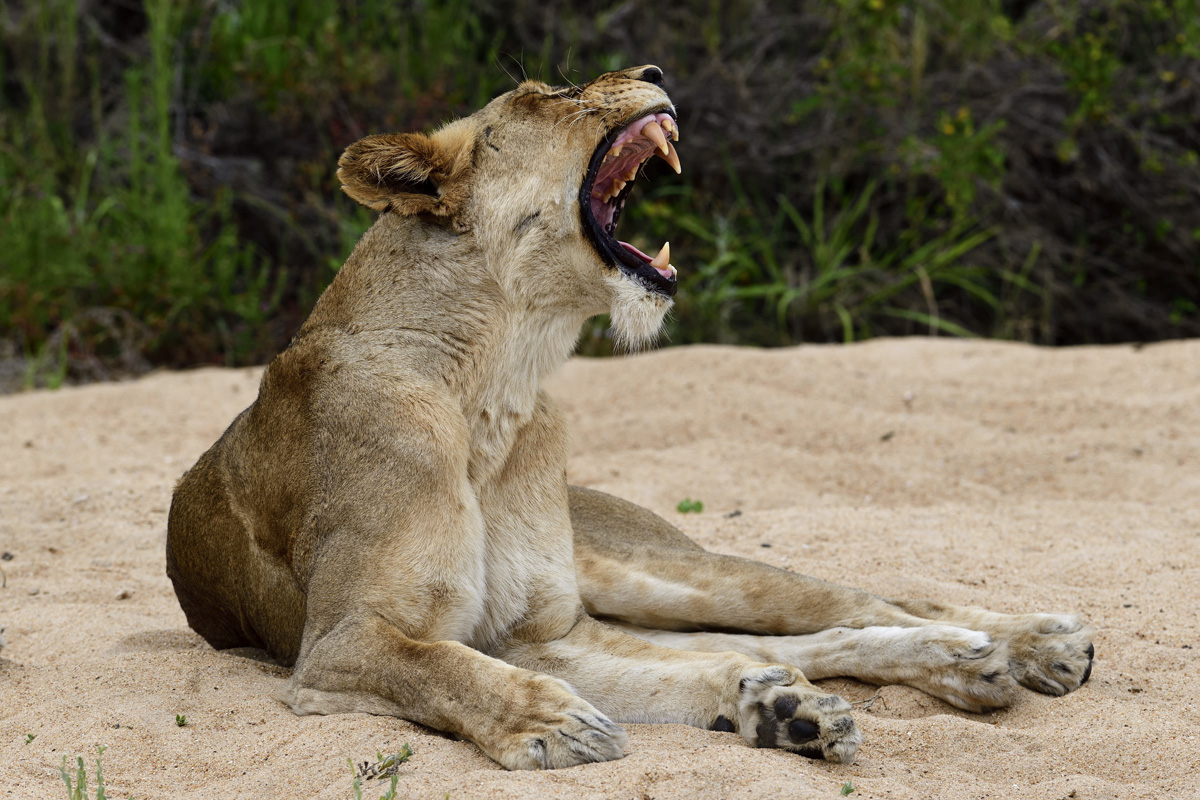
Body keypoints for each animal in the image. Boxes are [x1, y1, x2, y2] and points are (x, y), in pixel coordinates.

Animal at [166, 66, 1093, 770]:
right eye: (548, 94)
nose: (653, 71)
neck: (499, 384)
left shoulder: (545, 629)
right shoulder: (346, 643)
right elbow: (442, 667)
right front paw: (564, 722)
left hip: (661, 572)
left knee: (856, 600)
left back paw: (1024, 646)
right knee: (786, 643)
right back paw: (895, 682)